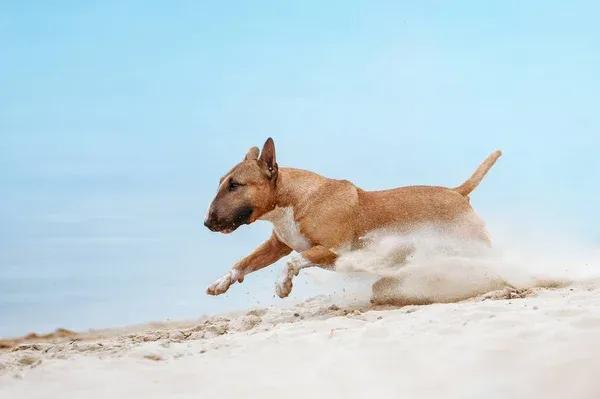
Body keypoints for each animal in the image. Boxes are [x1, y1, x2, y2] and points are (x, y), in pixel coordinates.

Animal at [204, 139, 500, 298]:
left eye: (235, 185)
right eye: (221, 182)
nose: (207, 223)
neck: (295, 199)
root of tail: (457, 192)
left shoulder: (334, 249)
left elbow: (293, 261)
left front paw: (282, 285)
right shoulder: (277, 245)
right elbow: (244, 263)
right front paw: (221, 282)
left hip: (469, 243)